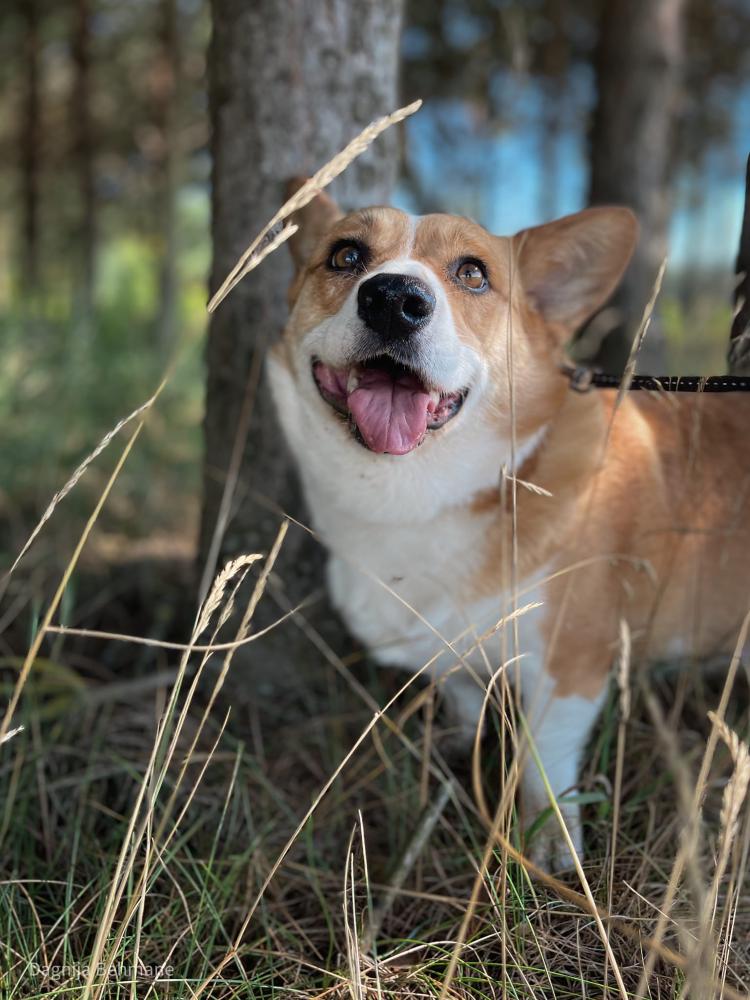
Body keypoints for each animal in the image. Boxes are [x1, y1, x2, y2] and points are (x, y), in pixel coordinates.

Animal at [267, 184, 749, 868]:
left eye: (473, 273)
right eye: (345, 254)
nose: (393, 300)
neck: (414, 497)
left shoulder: (571, 663)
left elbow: (546, 755)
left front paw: (548, 839)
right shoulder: (449, 653)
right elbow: (464, 698)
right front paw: (462, 744)